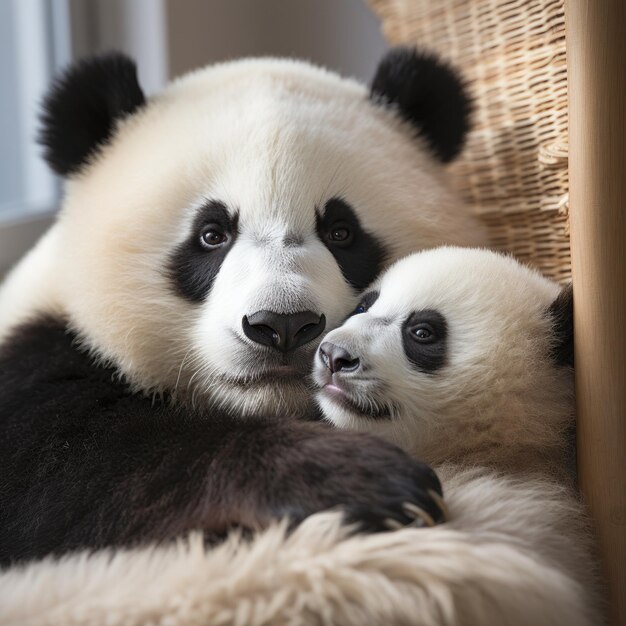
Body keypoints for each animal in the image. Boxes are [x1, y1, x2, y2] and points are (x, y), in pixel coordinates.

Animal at [0, 51, 480, 564]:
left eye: (341, 233)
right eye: (211, 234)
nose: (284, 325)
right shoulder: (41, 347)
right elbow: (69, 459)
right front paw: (362, 480)